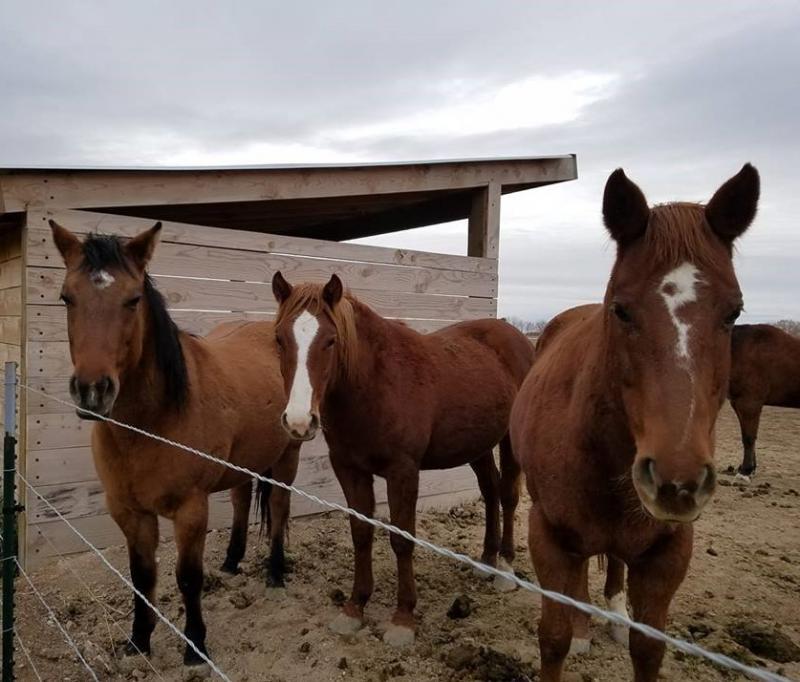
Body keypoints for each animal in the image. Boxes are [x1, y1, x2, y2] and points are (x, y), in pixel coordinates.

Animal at [50, 220, 301, 667]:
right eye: (67, 297)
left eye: (133, 300)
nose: (93, 392)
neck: (148, 426)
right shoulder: (129, 513)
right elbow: (142, 576)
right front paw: (138, 640)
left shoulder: (190, 511)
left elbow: (187, 578)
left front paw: (195, 645)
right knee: (241, 500)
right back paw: (232, 561)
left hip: (288, 458)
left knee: (278, 507)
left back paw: (274, 573)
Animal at [270, 272, 534, 646]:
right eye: (279, 339)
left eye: (331, 341)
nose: (298, 421)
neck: (375, 384)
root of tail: (517, 338)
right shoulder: (349, 470)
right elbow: (361, 533)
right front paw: (355, 607)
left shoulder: (403, 472)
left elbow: (401, 538)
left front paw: (403, 616)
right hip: (478, 445)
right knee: (490, 490)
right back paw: (486, 560)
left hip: (510, 440)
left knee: (509, 495)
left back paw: (506, 570)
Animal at [510, 164, 759, 681]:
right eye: (621, 309)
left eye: (734, 312)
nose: (677, 482)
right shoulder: (549, 537)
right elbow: (554, 638)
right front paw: (573, 633)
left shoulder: (668, 554)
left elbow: (649, 648)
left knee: (616, 568)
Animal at [729, 323, 800, 478]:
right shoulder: (739, 404)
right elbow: (746, 436)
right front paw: (750, 468)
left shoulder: (750, 404)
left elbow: (749, 437)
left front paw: (746, 470)